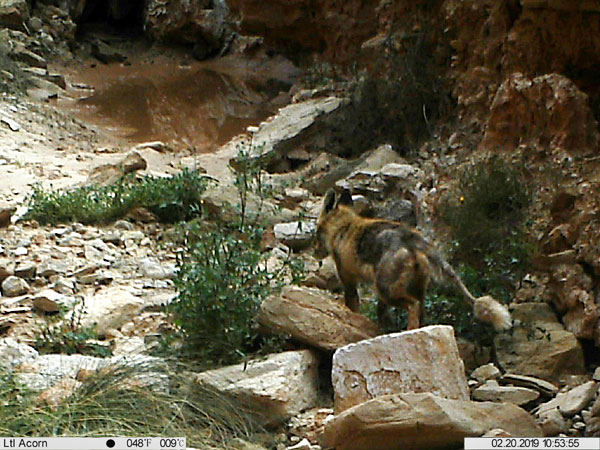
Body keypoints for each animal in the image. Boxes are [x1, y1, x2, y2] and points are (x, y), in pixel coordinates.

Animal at [314, 188, 510, 332]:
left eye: (316, 231)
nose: (315, 252)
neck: (343, 227)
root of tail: (416, 241)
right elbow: (381, 315)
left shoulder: (348, 280)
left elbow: (353, 307)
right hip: (415, 289)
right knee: (421, 314)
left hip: (386, 289)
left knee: (412, 306)